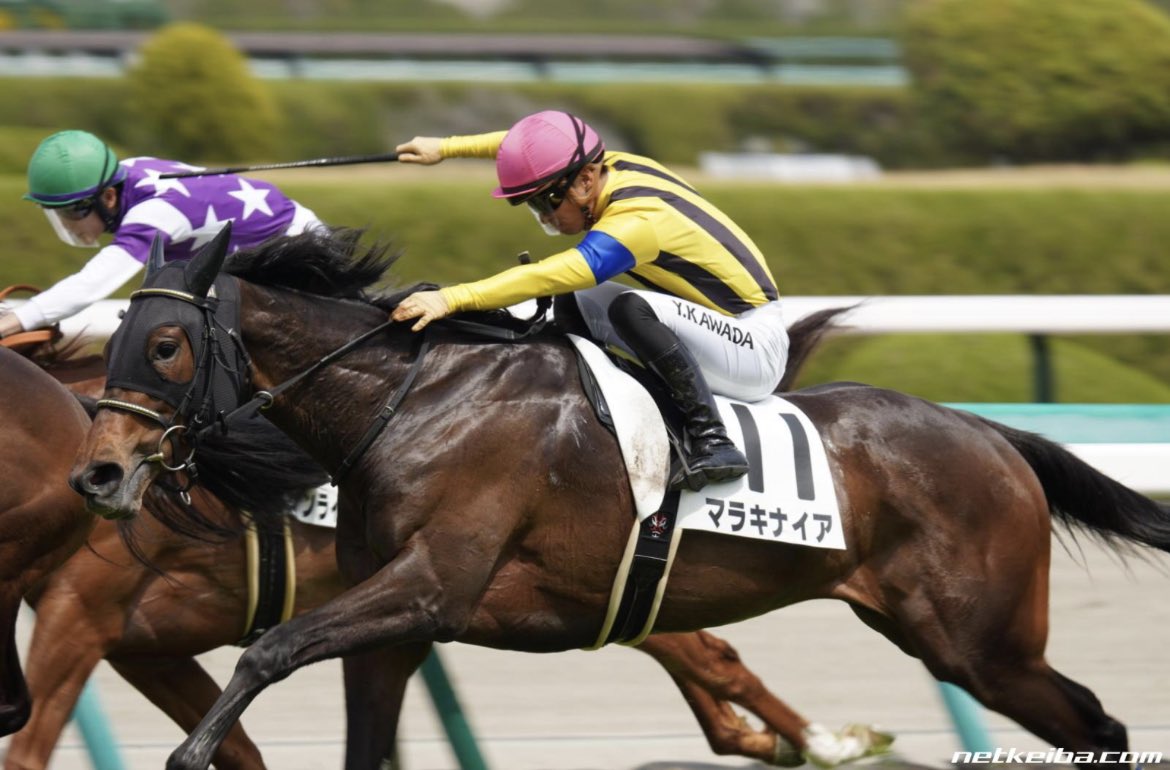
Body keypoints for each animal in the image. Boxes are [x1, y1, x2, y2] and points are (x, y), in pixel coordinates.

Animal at [1, 330, 886, 769]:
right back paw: (773, 739)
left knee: (710, 655)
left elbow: (31, 750)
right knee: (690, 650)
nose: (99, 478)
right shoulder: (135, 644)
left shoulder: (79, 620)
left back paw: (824, 741)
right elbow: (240, 747)